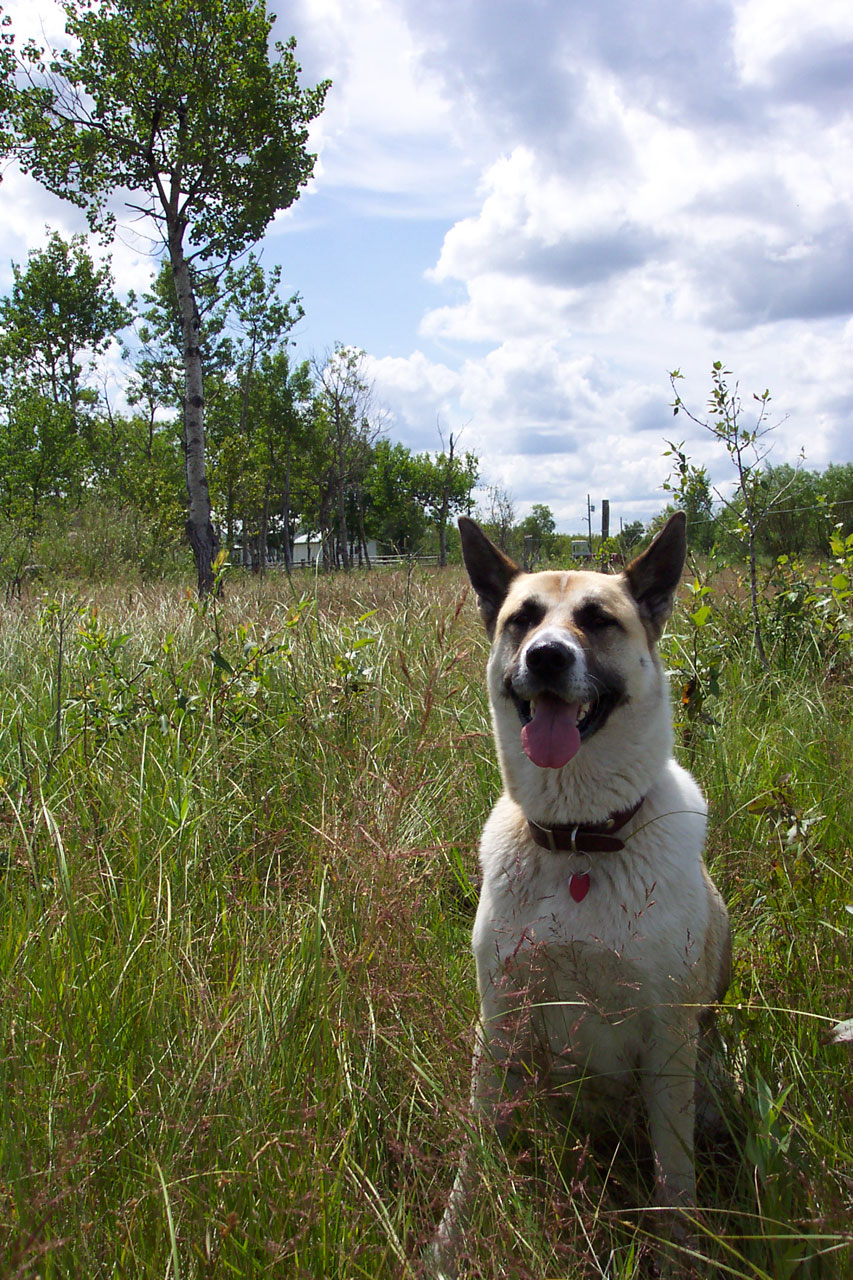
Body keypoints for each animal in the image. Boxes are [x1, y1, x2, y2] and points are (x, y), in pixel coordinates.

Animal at [432, 512, 732, 1280]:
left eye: (596, 620)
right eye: (522, 619)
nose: (544, 658)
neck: (578, 844)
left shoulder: (667, 1035)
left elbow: (674, 1175)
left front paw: (679, 1255)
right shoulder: (501, 1022)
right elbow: (473, 1155)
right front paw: (449, 1242)